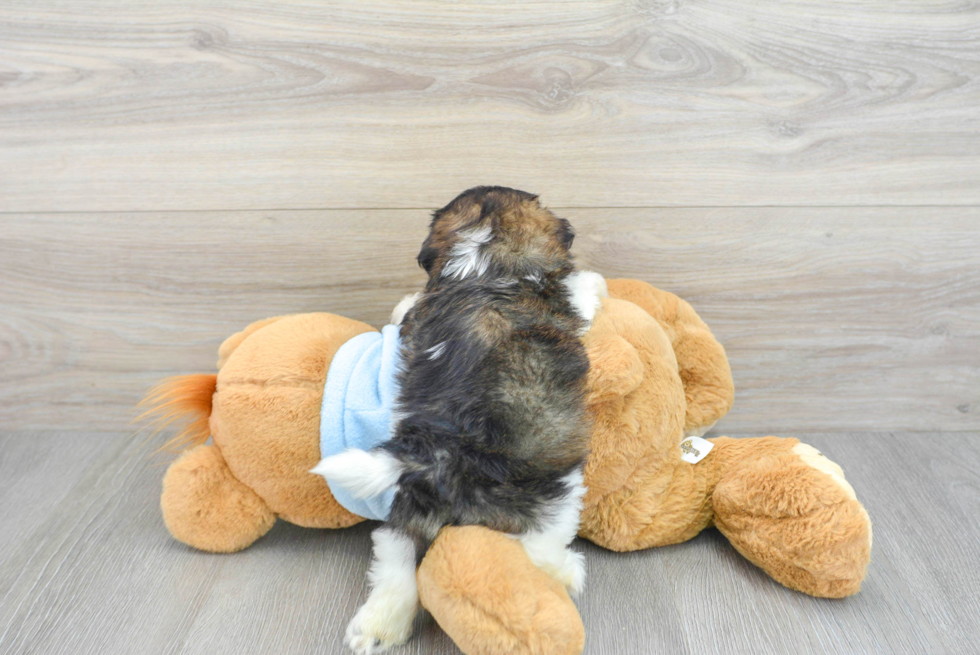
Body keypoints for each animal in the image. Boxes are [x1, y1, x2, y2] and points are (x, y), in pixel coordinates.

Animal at [316, 187, 604, 652]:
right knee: (539, 543)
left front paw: (400, 305)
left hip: (409, 506)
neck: (480, 260)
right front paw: (597, 281)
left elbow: (408, 310)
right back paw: (567, 572)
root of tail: (435, 452)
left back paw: (377, 627)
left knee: (395, 555)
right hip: (550, 491)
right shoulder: (565, 303)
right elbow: (582, 292)